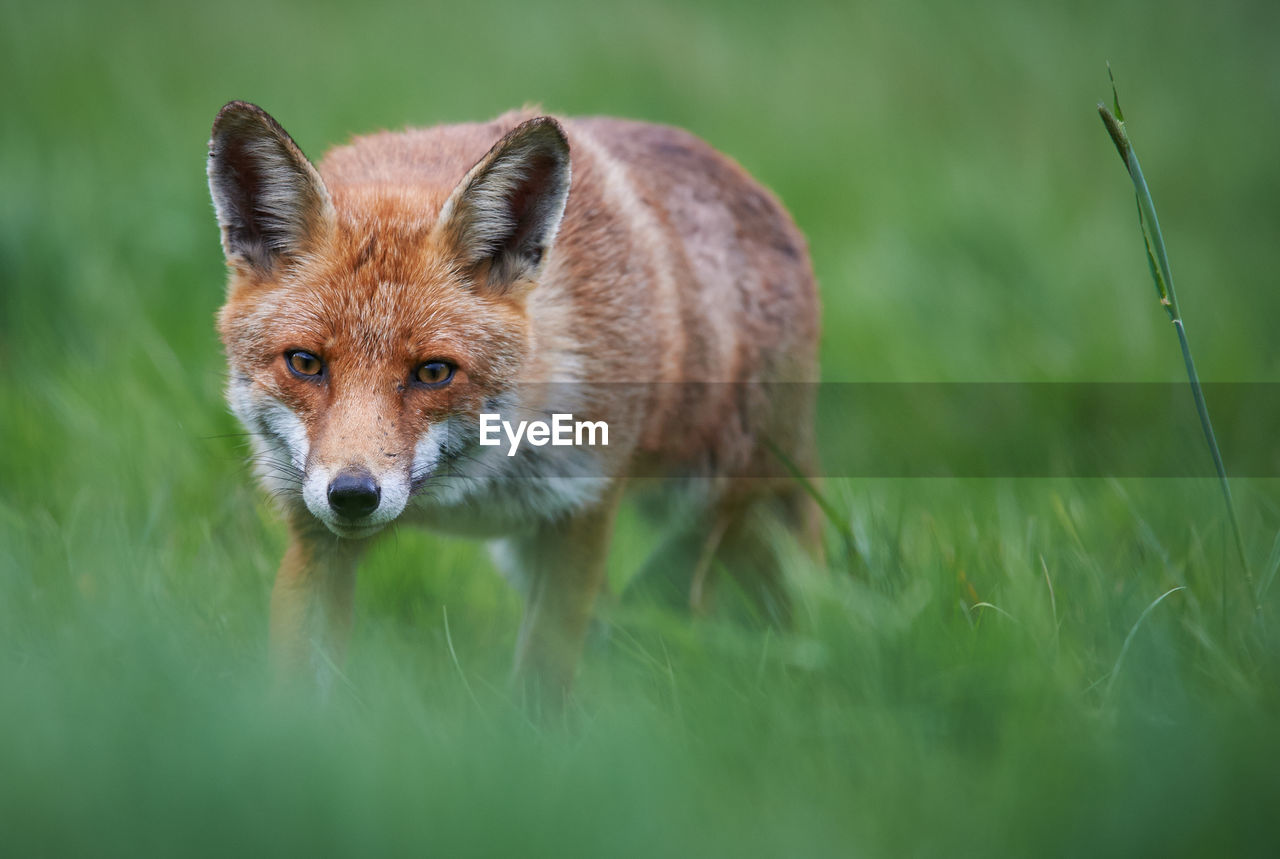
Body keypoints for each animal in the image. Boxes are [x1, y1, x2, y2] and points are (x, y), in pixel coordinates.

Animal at [204, 102, 814, 696]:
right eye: (305, 363)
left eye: (433, 372)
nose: (353, 495)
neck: (466, 489)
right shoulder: (315, 538)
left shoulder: (581, 513)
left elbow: (540, 687)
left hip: (745, 511)